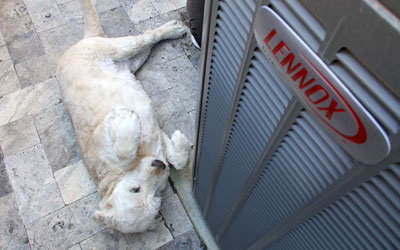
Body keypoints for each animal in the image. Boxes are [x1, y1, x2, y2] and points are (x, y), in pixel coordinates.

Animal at [56, 0, 192, 232]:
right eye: (144, 193)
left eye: (134, 189)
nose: (160, 166)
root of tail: (84, 39)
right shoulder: (158, 139)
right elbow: (178, 159)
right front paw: (180, 142)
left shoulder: (103, 132)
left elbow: (123, 150)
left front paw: (128, 118)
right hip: (133, 61)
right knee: (147, 40)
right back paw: (172, 29)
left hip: (118, 48)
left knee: (146, 36)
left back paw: (173, 28)